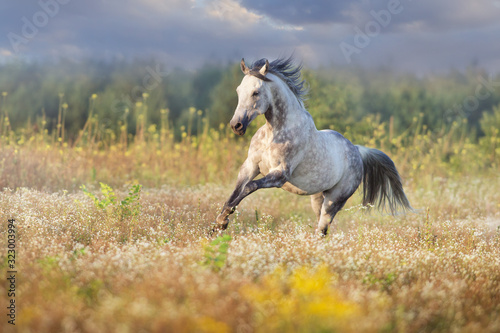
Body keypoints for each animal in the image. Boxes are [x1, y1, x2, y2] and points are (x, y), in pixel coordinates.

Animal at [211, 55, 410, 235]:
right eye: (238, 91)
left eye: (256, 92)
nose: (236, 125)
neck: (274, 133)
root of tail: (357, 150)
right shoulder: (250, 166)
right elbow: (236, 192)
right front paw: (218, 224)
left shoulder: (280, 174)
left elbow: (249, 187)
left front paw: (223, 222)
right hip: (317, 198)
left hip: (334, 201)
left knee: (322, 230)